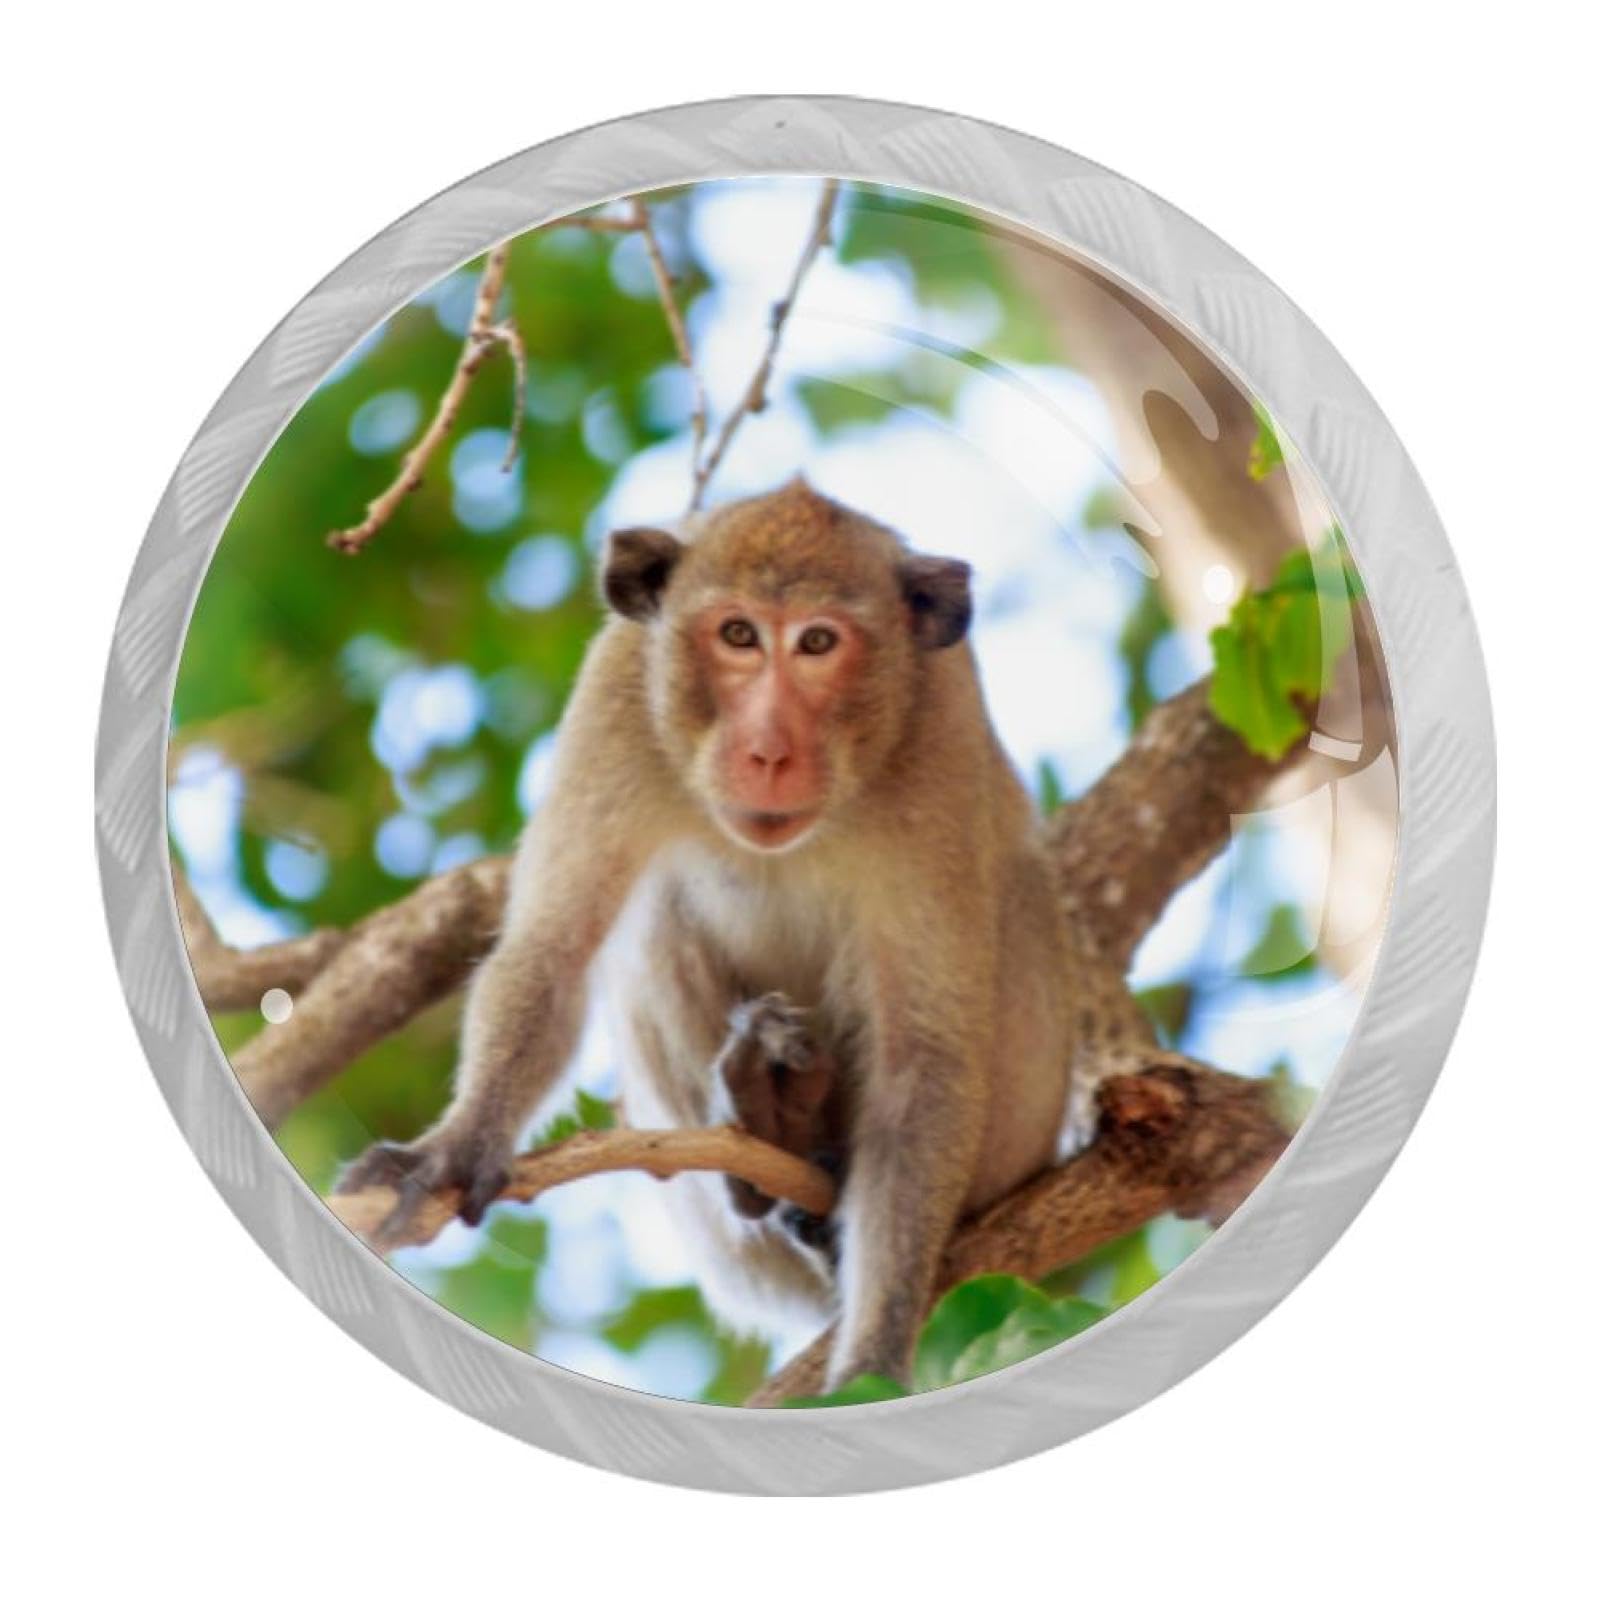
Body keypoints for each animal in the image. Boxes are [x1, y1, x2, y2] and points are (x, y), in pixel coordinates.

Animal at [339, 478, 1074, 1393]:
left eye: (818, 642)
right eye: (737, 634)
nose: (766, 750)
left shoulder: (940, 734)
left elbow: (924, 1058)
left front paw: (872, 1358)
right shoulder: (618, 689)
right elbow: (552, 946)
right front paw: (456, 1145)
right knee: (653, 916)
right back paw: (767, 1126)